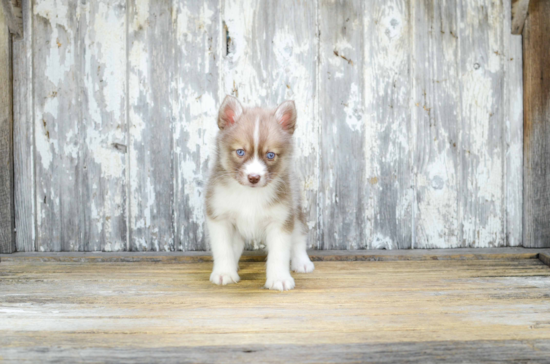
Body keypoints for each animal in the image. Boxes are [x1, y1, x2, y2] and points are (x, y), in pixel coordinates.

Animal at [206, 95, 314, 292]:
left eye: (270, 155)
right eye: (240, 152)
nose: (254, 177)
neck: (250, 195)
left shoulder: (281, 220)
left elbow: (279, 254)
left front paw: (279, 278)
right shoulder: (220, 217)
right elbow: (223, 249)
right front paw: (224, 272)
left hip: (296, 210)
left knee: (299, 237)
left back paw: (302, 262)